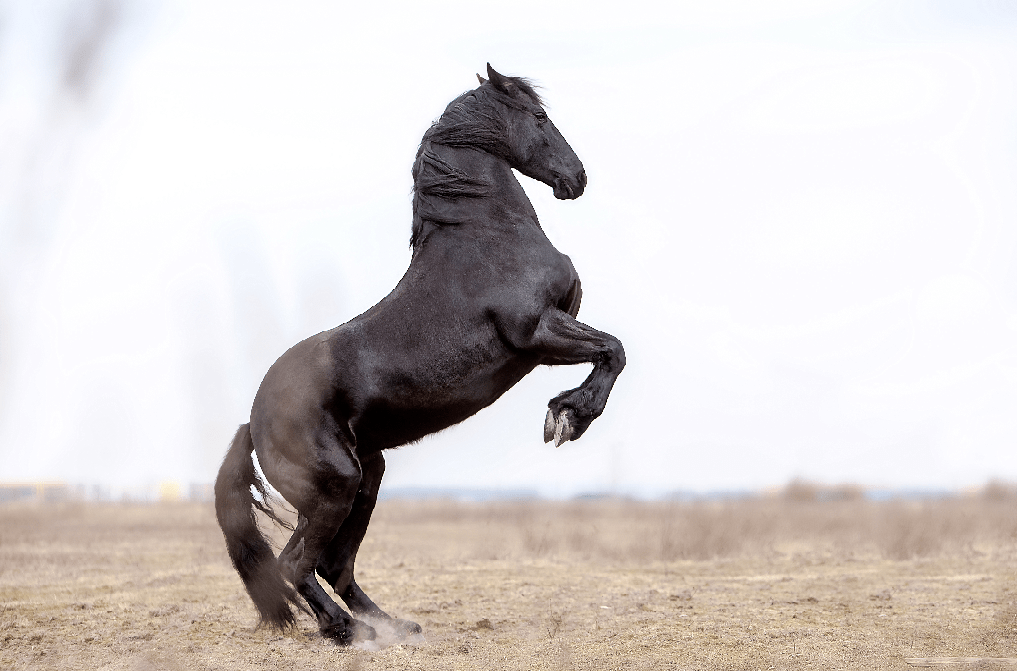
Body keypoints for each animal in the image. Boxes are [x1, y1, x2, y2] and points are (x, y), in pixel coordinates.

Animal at [214, 64, 622, 646]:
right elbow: (613, 350)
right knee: (297, 563)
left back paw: (393, 625)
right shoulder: (537, 333)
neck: (488, 237)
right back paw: (346, 631)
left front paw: (565, 414)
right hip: (335, 486)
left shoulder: (548, 339)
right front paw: (566, 418)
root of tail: (254, 423)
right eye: (540, 116)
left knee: (334, 565)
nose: (577, 178)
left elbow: (609, 351)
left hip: (367, 478)